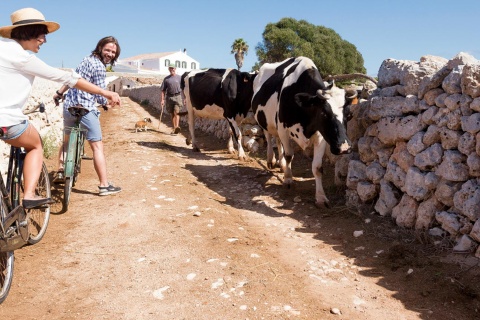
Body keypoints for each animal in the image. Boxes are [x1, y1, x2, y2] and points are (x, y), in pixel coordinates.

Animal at [251, 57, 352, 208]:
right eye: (324, 113)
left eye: (348, 114)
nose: (344, 147)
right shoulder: (283, 129)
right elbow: (289, 155)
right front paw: (288, 180)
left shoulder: (321, 136)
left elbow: (317, 167)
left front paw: (321, 197)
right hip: (264, 121)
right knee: (269, 138)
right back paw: (271, 160)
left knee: (278, 141)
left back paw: (281, 165)